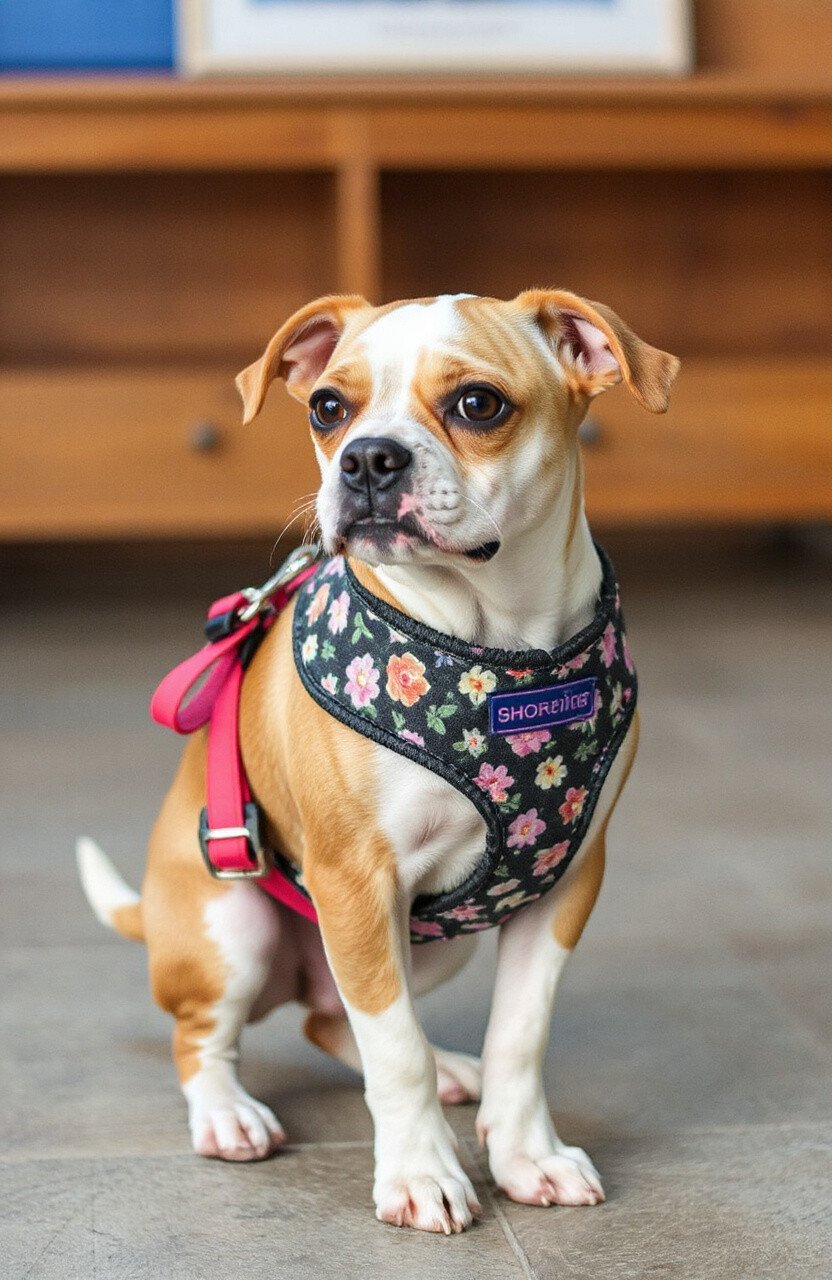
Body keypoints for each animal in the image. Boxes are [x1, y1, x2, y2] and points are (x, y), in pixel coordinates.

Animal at [78, 289, 678, 1234]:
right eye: (329, 406)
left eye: (479, 404)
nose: (366, 458)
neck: (495, 645)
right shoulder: (358, 882)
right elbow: (393, 1051)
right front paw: (421, 1174)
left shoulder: (565, 885)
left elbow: (519, 1035)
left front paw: (527, 1155)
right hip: (235, 930)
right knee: (210, 1035)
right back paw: (228, 1114)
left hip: (434, 944)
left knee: (335, 1018)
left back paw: (454, 1069)